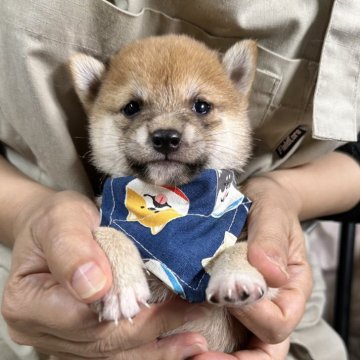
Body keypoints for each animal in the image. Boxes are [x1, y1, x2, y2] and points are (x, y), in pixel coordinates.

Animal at [69, 33, 272, 352]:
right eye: (132, 107)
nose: (165, 137)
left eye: (201, 106)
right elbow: (108, 232)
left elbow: (238, 246)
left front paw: (237, 274)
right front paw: (120, 284)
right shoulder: (110, 219)